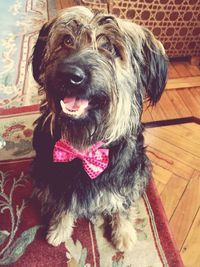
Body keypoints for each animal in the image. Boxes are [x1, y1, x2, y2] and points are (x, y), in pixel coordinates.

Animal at [32, 6, 168, 253]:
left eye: (111, 47)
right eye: (66, 40)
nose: (70, 74)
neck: (85, 146)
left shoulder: (126, 178)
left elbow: (122, 205)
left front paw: (123, 232)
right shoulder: (58, 181)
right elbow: (63, 205)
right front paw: (59, 230)